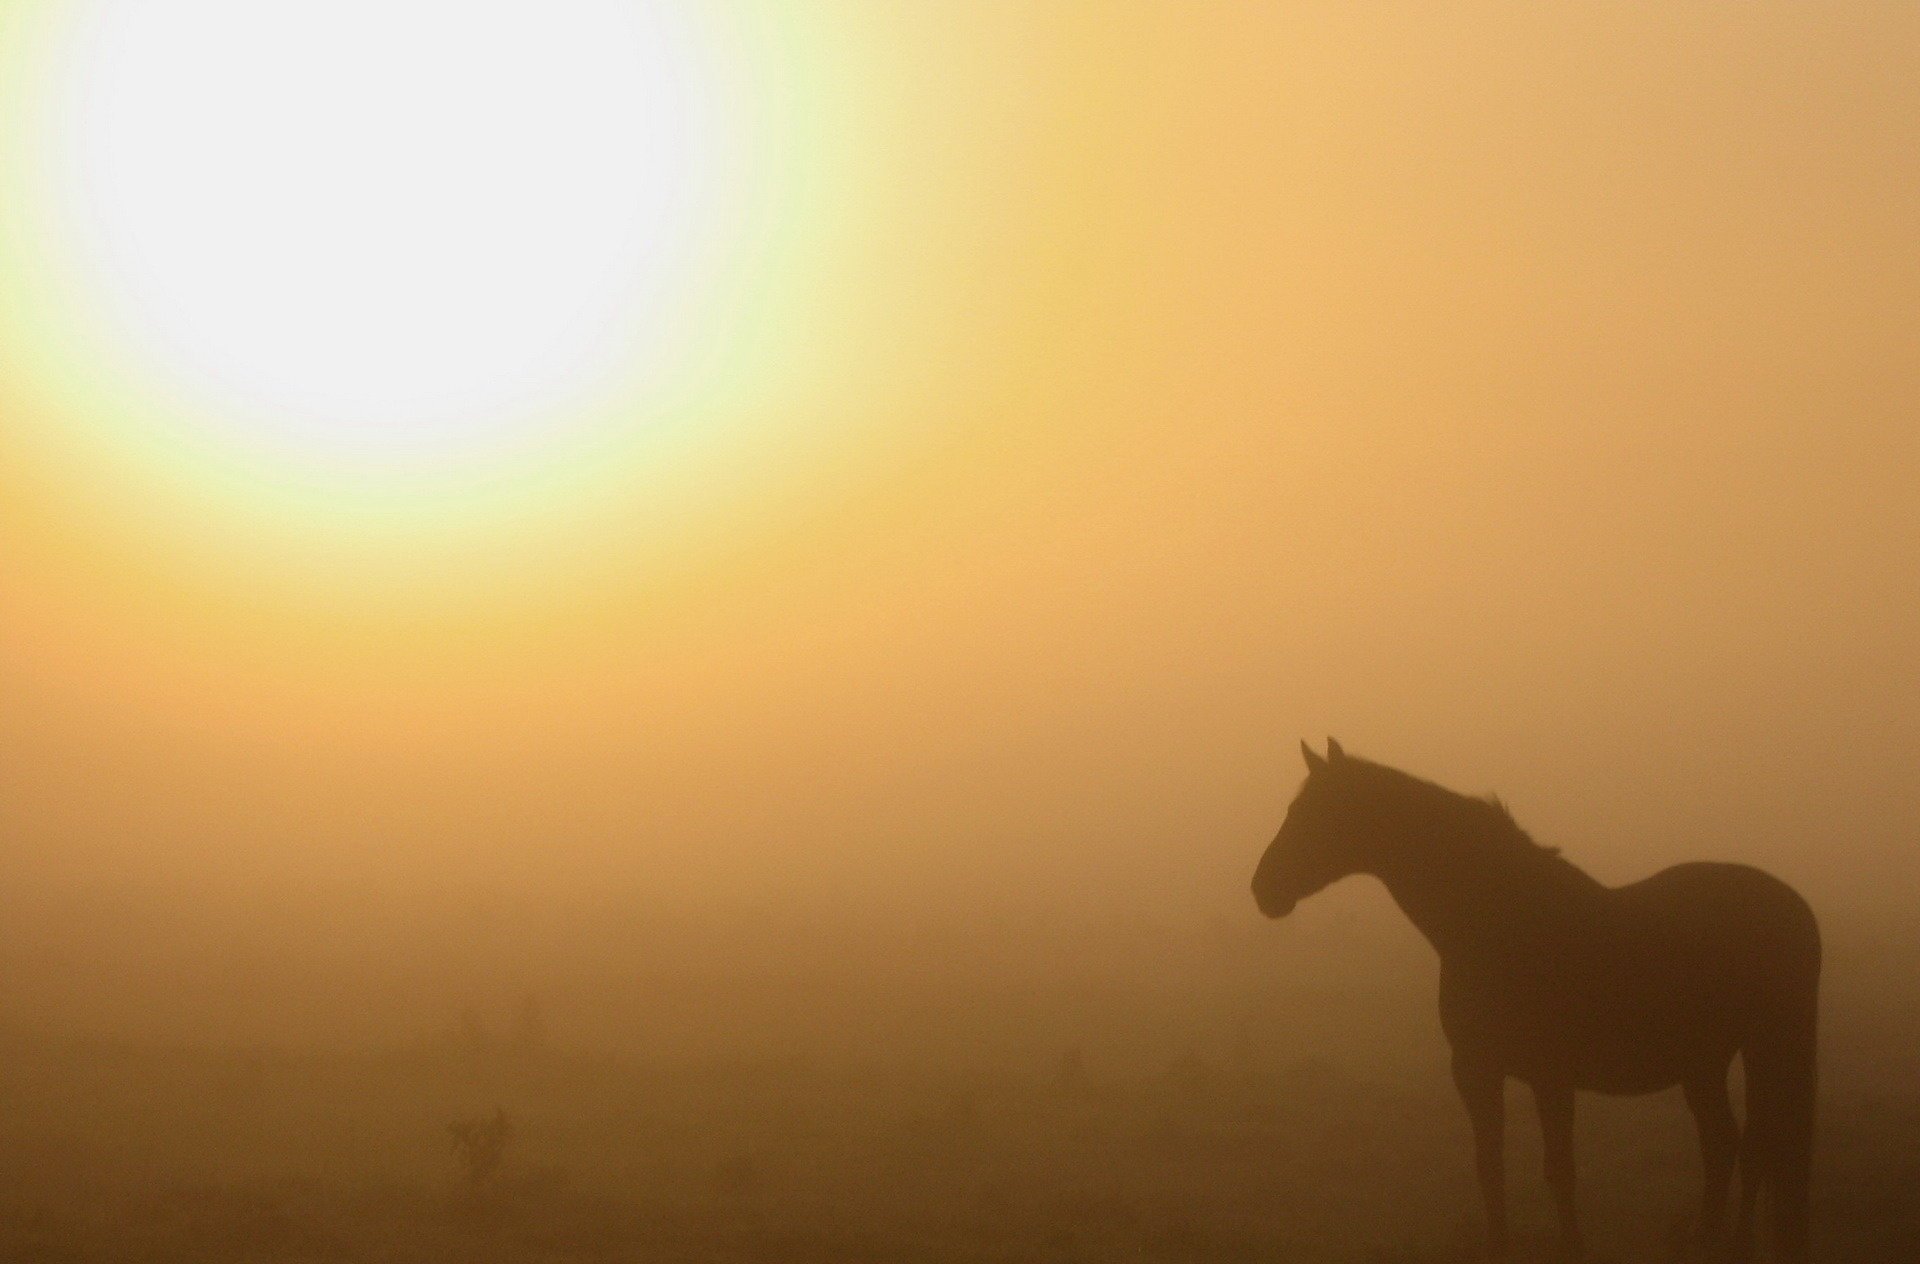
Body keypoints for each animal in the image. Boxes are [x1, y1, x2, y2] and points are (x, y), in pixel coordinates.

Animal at [1251, 740, 1819, 1262]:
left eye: (1312, 814)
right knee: (1726, 1144)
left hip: (1767, 1049)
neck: (1501, 921)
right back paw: (1705, 1243)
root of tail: (1793, 905)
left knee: (1754, 1147)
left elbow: (1559, 1171)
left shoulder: (1551, 1077)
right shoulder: (1476, 1070)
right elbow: (1490, 1166)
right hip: (1704, 1062)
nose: (1263, 889)